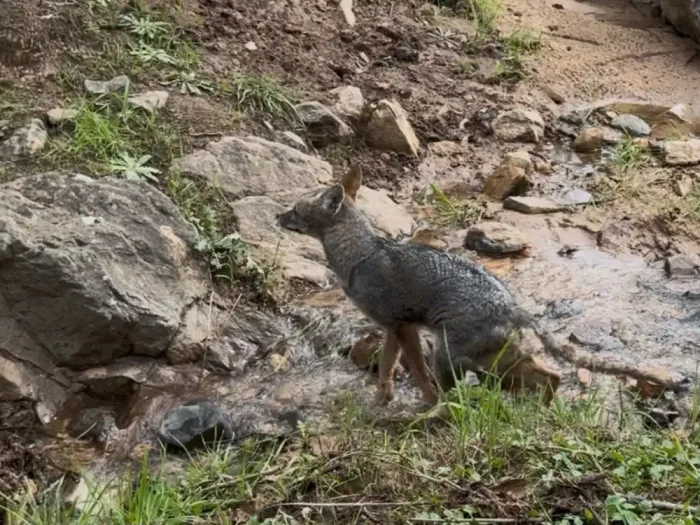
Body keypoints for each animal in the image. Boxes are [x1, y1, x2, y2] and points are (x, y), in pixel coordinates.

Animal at [277, 163, 689, 406]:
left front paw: (425, 403)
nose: (277, 217)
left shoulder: (402, 326)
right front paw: (383, 399)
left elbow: (416, 373)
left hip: (448, 354)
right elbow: (385, 369)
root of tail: (515, 306)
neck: (361, 254)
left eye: (295, 210)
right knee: (551, 376)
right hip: (495, 360)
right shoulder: (393, 328)